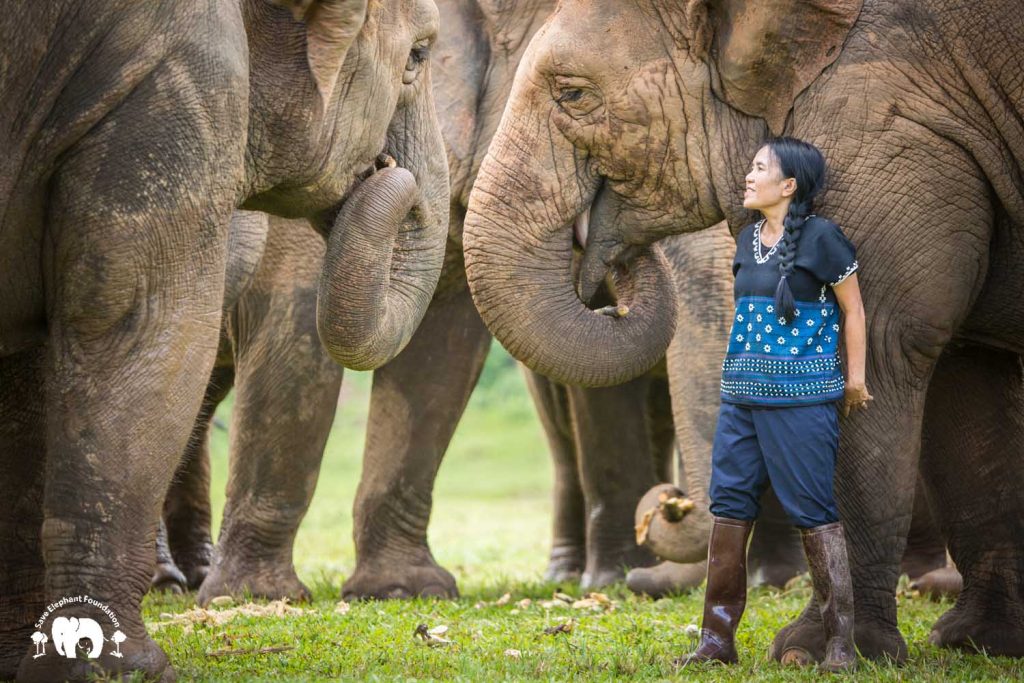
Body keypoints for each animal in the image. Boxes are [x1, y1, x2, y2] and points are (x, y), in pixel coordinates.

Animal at [0, 2, 448, 679]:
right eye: (418, 56)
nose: (393, 175)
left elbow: (30, 365)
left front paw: (27, 659)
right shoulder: (176, 79)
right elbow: (140, 325)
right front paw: (124, 668)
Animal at [464, 0, 1024, 663]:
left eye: (572, 94)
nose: (669, 501)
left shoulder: (887, 124)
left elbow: (880, 344)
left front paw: (817, 652)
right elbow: (969, 373)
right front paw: (977, 643)